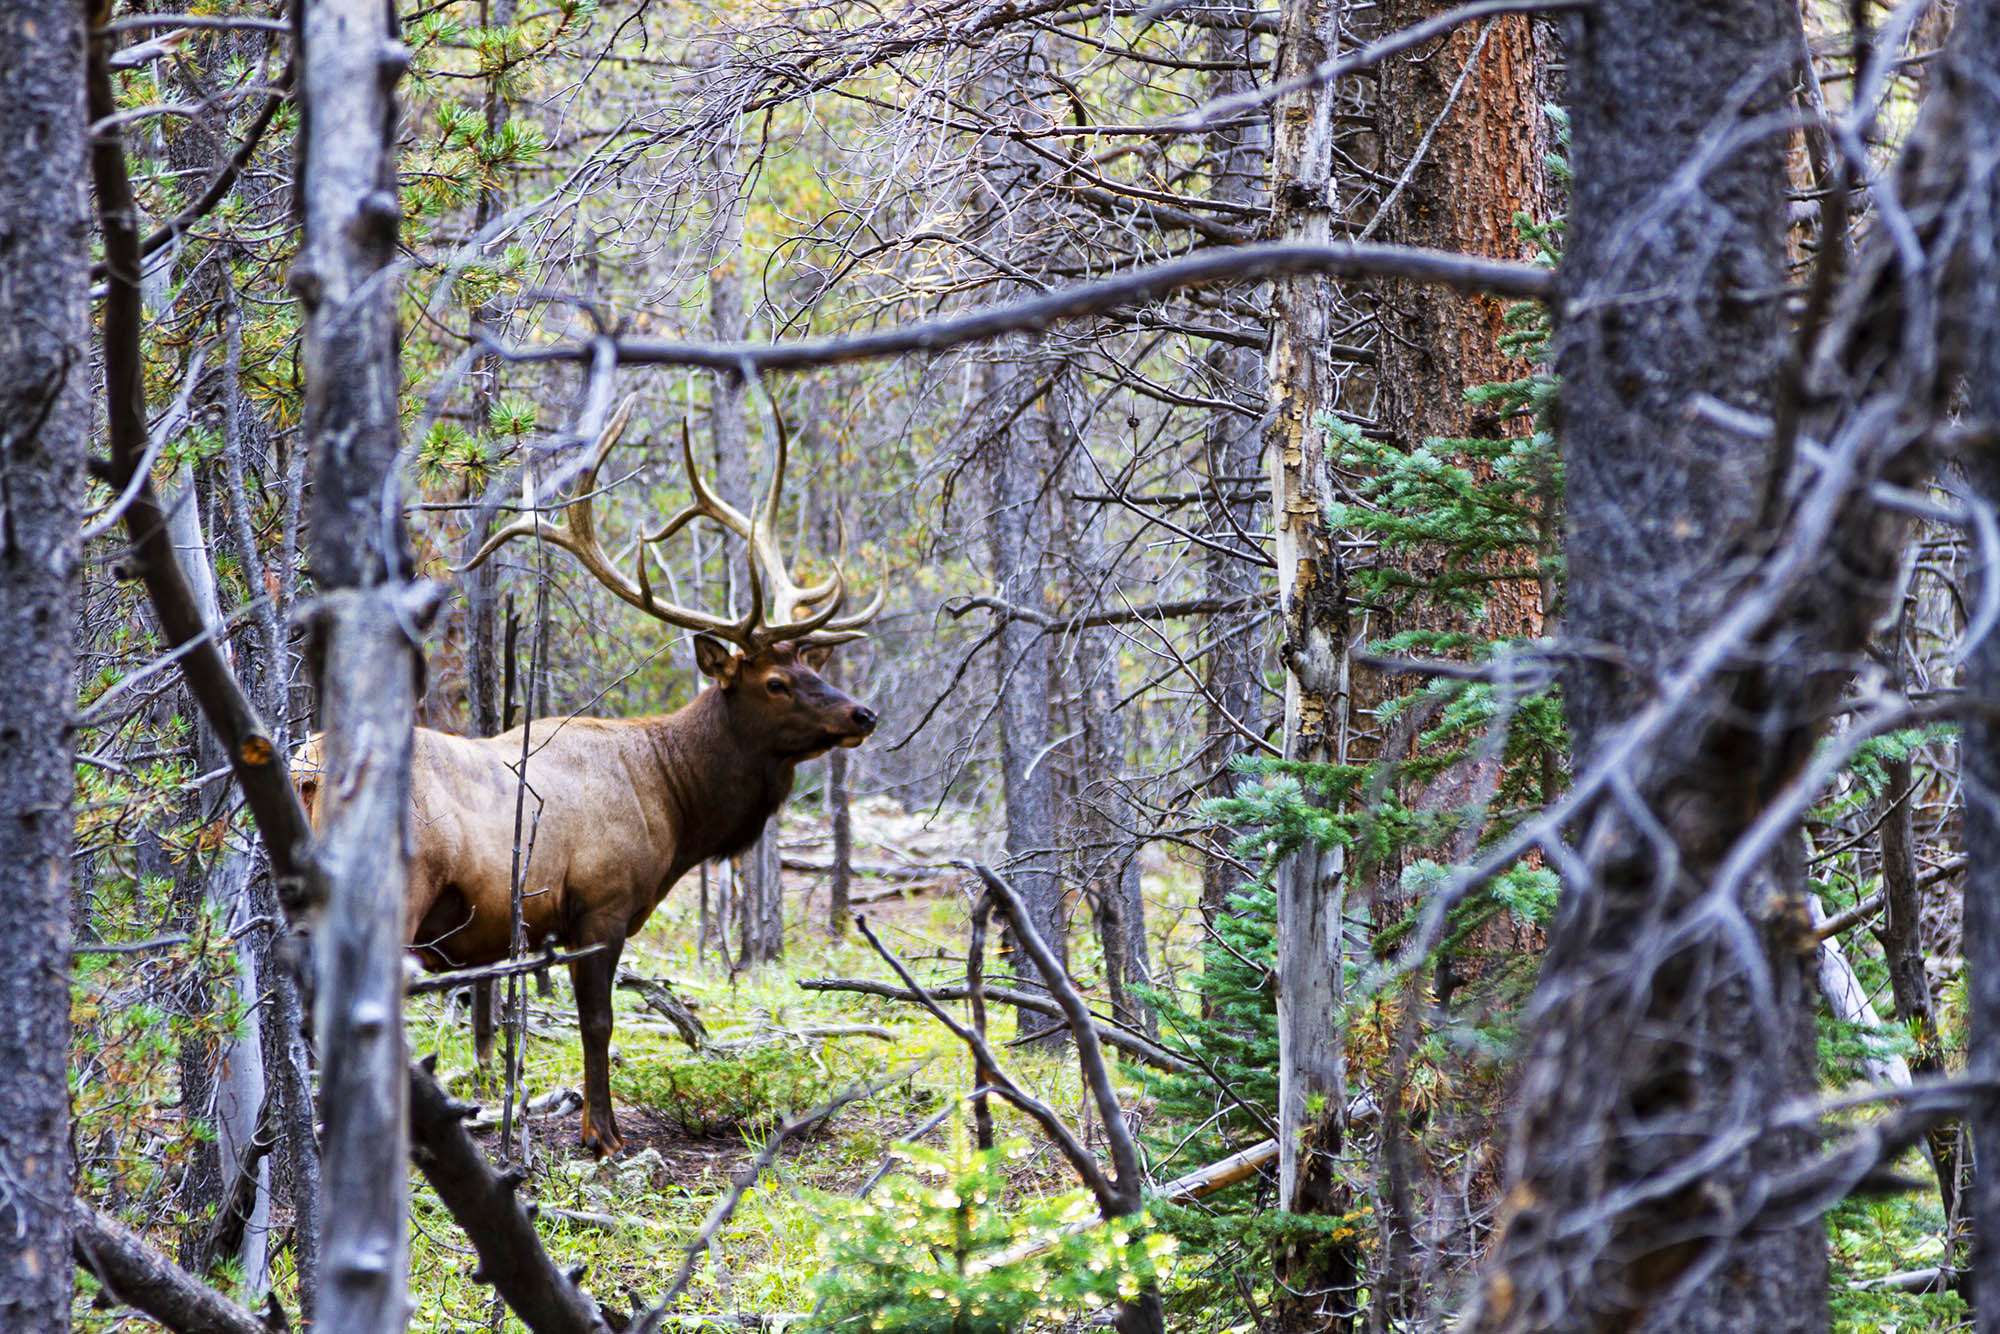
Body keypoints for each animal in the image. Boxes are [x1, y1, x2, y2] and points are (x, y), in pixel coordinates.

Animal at [298, 400, 884, 1160]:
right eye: (776, 682)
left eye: (811, 665)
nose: (862, 713)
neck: (672, 798)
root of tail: (309, 767)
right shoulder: (601, 903)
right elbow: (599, 1022)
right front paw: (603, 1134)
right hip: (400, 891)